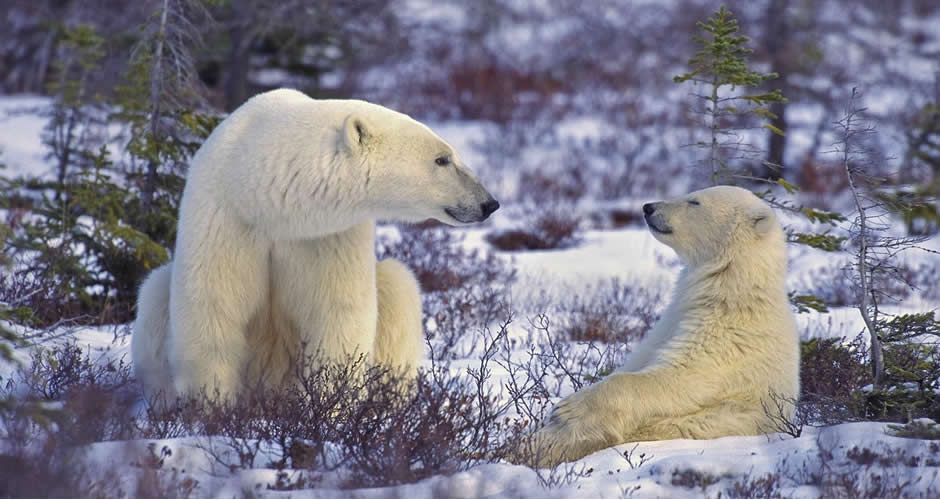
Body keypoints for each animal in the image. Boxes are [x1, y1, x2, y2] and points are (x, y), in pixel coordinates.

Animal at [132, 88, 499, 403]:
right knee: (155, 290)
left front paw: (332, 410)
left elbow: (337, 315)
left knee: (398, 284)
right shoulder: (226, 217)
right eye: (442, 159)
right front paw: (211, 408)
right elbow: (213, 308)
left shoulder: (327, 237)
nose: (489, 203)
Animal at [528, 185, 800, 466]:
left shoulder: (731, 339)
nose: (648, 207)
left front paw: (566, 409)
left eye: (694, 201)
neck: (732, 290)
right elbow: (641, 359)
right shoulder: (671, 322)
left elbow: (680, 379)